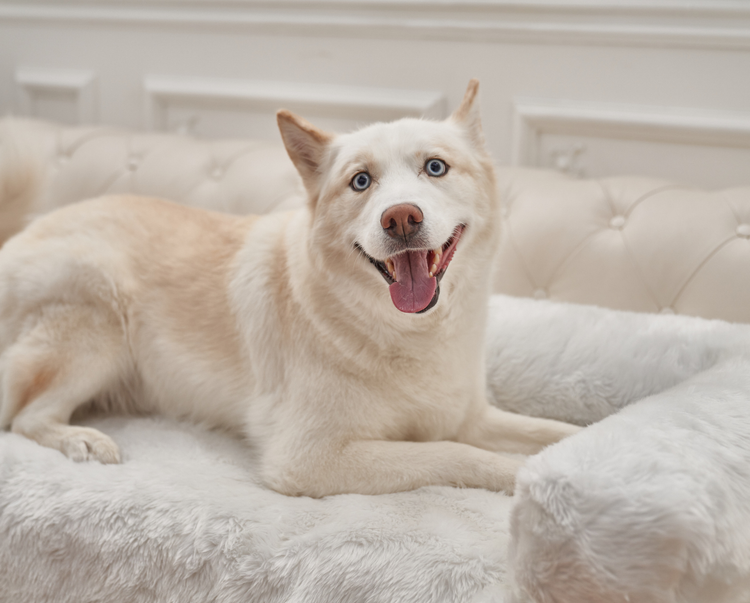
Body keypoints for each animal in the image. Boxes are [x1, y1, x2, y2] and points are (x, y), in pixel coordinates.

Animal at [0, 81, 580, 496]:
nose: (400, 218)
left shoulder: (471, 416)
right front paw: (529, 477)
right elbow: (454, 453)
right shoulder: (308, 458)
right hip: (96, 324)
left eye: (435, 167)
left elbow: (551, 430)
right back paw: (80, 438)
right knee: (26, 416)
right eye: (361, 181)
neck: (406, 332)